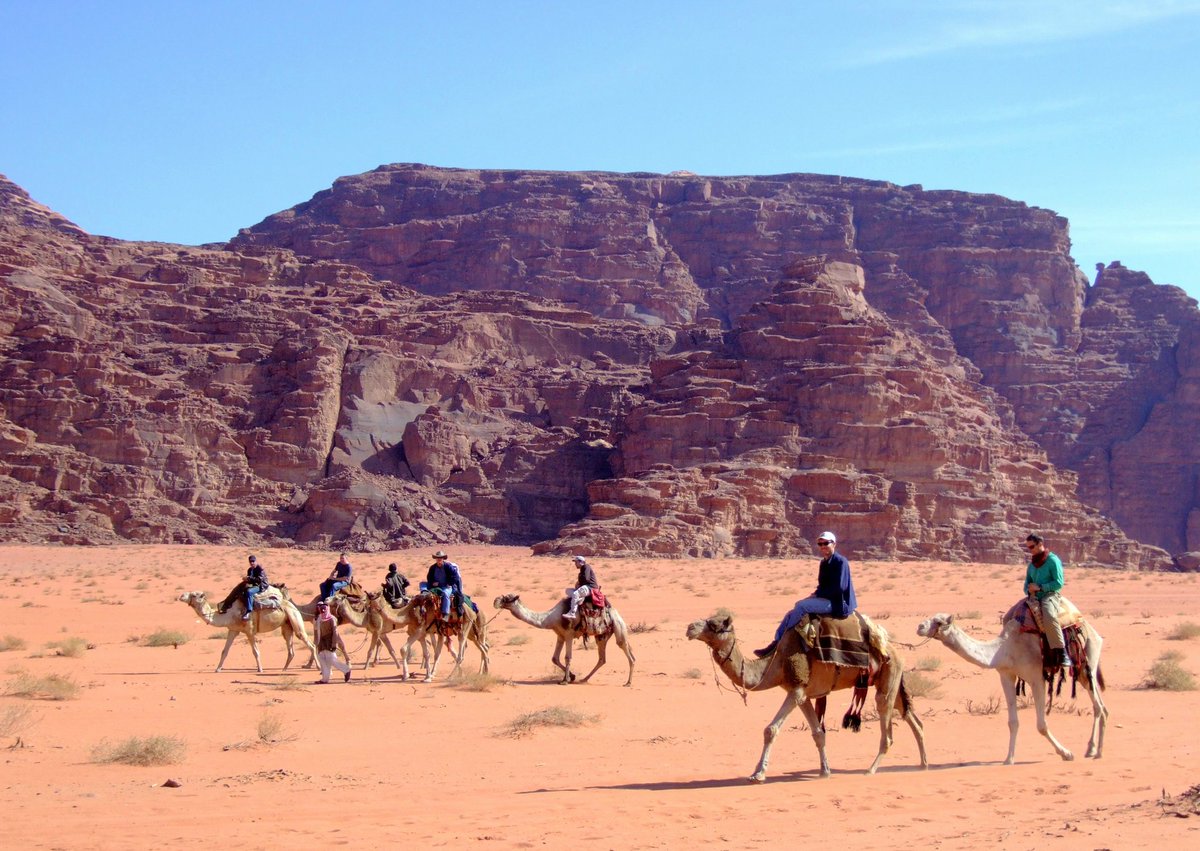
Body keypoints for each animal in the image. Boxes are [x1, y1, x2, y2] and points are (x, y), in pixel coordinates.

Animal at [177, 590, 319, 672]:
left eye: (194, 595)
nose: (181, 596)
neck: (230, 614)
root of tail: (293, 606)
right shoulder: (233, 630)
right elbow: (224, 651)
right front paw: (217, 669)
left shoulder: (249, 630)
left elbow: (255, 651)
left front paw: (260, 669)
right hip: (286, 625)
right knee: (290, 647)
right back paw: (284, 669)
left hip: (295, 619)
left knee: (310, 643)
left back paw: (317, 667)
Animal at [492, 595, 638, 686]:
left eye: (507, 598)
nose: (495, 601)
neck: (550, 617)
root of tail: (616, 613)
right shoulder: (560, 635)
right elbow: (554, 658)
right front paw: (570, 677)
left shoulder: (568, 634)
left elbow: (567, 657)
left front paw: (565, 680)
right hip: (602, 636)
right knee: (602, 658)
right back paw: (584, 679)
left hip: (618, 627)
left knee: (626, 650)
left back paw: (628, 682)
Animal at [686, 607, 926, 777]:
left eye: (714, 624)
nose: (690, 627)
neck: (776, 663)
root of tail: (892, 648)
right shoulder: (803, 695)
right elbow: (818, 733)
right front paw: (825, 771)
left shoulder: (796, 691)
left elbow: (770, 730)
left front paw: (758, 773)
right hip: (889, 680)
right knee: (912, 718)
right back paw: (923, 764)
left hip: (887, 678)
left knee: (887, 723)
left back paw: (871, 769)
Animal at [916, 609, 1104, 763]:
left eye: (939, 622)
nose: (919, 626)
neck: (1004, 649)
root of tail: (1092, 630)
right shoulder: (1006, 675)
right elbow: (1013, 722)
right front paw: (1009, 759)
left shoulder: (1036, 677)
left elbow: (1041, 725)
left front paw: (1066, 753)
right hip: (1082, 672)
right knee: (1102, 705)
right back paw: (1094, 750)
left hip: (1088, 661)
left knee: (1097, 706)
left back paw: (1095, 751)